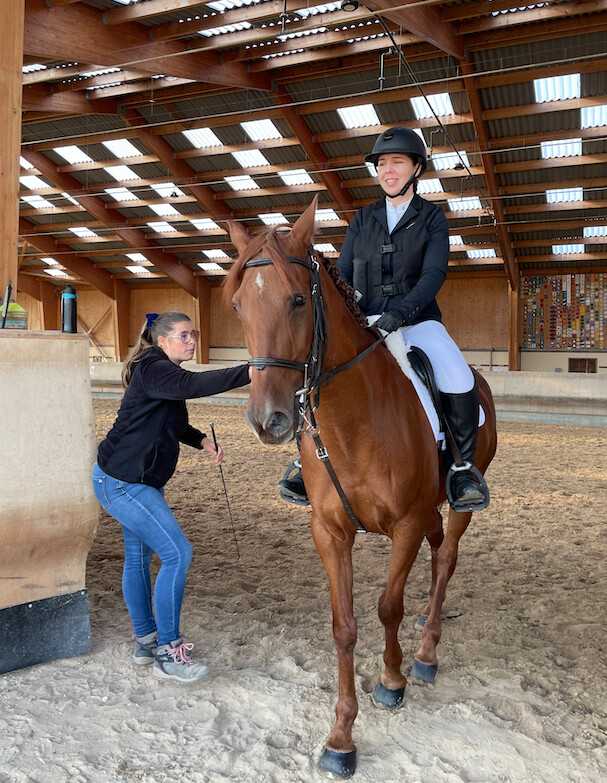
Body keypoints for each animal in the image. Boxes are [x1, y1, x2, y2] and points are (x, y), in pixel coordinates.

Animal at [226, 201, 496, 776]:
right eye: (238, 305)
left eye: (298, 300)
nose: (268, 421)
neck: (354, 420)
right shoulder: (330, 532)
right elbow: (344, 626)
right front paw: (341, 738)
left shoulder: (405, 525)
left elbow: (387, 607)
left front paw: (391, 681)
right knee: (437, 552)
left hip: (458, 503)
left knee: (446, 558)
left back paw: (426, 654)